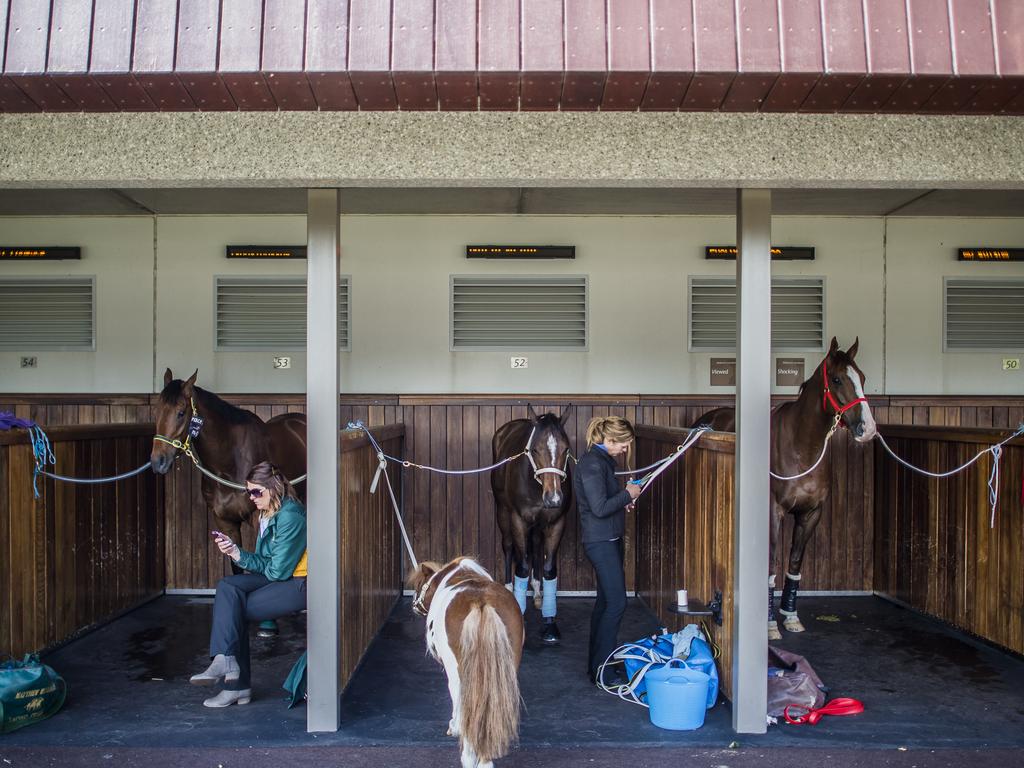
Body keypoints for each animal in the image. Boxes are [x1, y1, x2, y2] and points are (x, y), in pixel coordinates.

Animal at [149, 372, 307, 565]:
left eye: (180, 413)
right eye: (156, 412)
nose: (158, 462)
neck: (229, 466)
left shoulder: (259, 518)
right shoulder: (226, 523)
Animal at [489, 405, 573, 647]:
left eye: (566, 449)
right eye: (535, 450)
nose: (553, 498)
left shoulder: (557, 522)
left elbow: (549, 569)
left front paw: (550, 623)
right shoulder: (518, 519)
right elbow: (522, 567)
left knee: (535, 544)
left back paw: (536, 593)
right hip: (502, 512)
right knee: (509, 547)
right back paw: (510, 589)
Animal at [692, 337, 876, 643]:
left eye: (862, 378)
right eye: (837, 379)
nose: (868, 429)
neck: (802, 447)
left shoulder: (811, 514)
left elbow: (794, 565)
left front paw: (790, 616)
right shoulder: (772, 512)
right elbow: (770, 565)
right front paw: (768, 624)